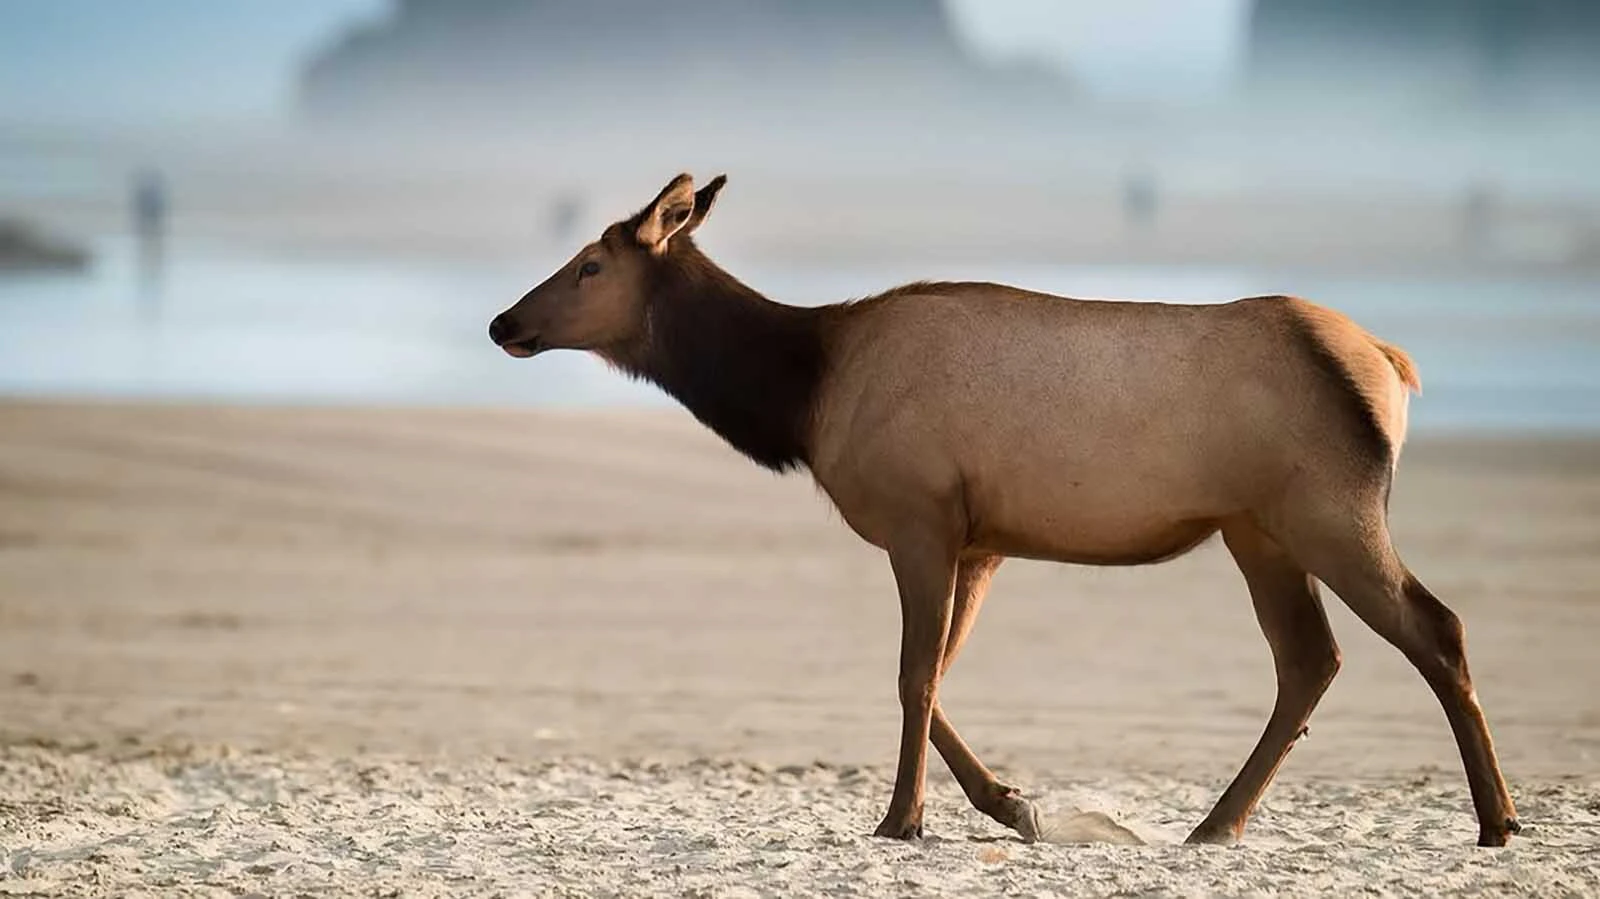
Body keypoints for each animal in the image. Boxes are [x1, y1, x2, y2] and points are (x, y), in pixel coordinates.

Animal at [488, 173, 1520, 847]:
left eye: (588, 264)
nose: (504, 322)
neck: (804, 397)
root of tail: (1389, 364)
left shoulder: (918, 516)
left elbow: (912, 675)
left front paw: (902, 818)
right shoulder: (980, 539)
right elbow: (938, 674)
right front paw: (1013, 803)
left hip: (1328, 508)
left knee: (1436, 626)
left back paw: (1497, 818)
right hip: (1257, 528)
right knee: (1311, 658)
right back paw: (1217, 823)